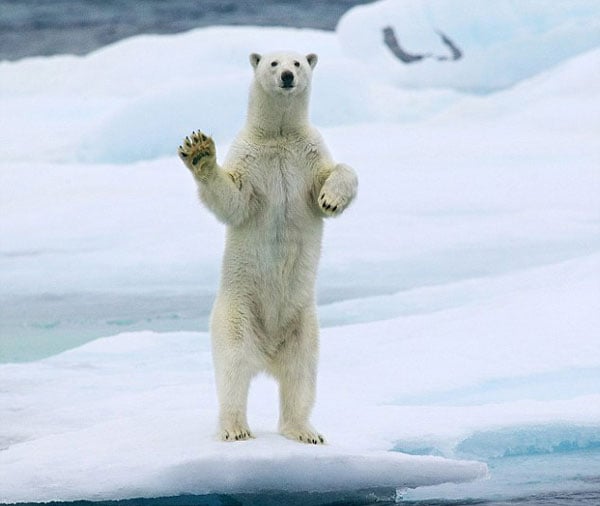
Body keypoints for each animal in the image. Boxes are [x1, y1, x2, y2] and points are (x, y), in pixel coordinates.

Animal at [177, 51, 356, 444]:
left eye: (299, 62)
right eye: (273, 63)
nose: (288, 76)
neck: (279, 135)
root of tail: (267, 354)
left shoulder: (309, 156)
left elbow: (339, 173)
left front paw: (331, 199)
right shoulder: (250, 160)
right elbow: (233, 200)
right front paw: (199, 151)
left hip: (304, 324)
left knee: (301, 375)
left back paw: (304, 431)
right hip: (237, 313)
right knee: (233, 369)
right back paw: (235, 428)